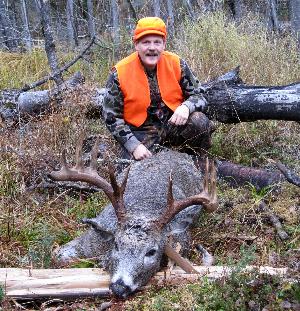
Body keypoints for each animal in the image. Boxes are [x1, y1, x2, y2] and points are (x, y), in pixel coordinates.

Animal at [49, 137, 218, 300]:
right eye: (116, 244)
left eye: (151, 251)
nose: (119, 287)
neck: (144, 209)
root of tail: (177, 152)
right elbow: (57, 255)